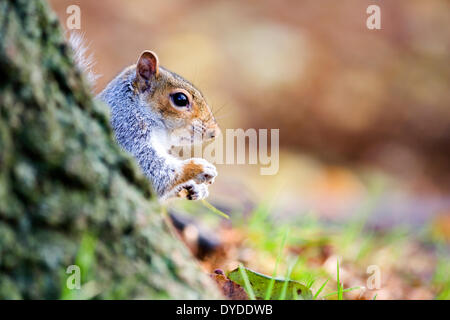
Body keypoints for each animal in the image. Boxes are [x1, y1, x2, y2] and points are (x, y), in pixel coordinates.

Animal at [69, 33, 221, 201]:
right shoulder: (125, 130)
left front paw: (198, 189)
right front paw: (199, 167)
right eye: (180, 99)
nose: (214, 132)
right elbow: (149, 169)